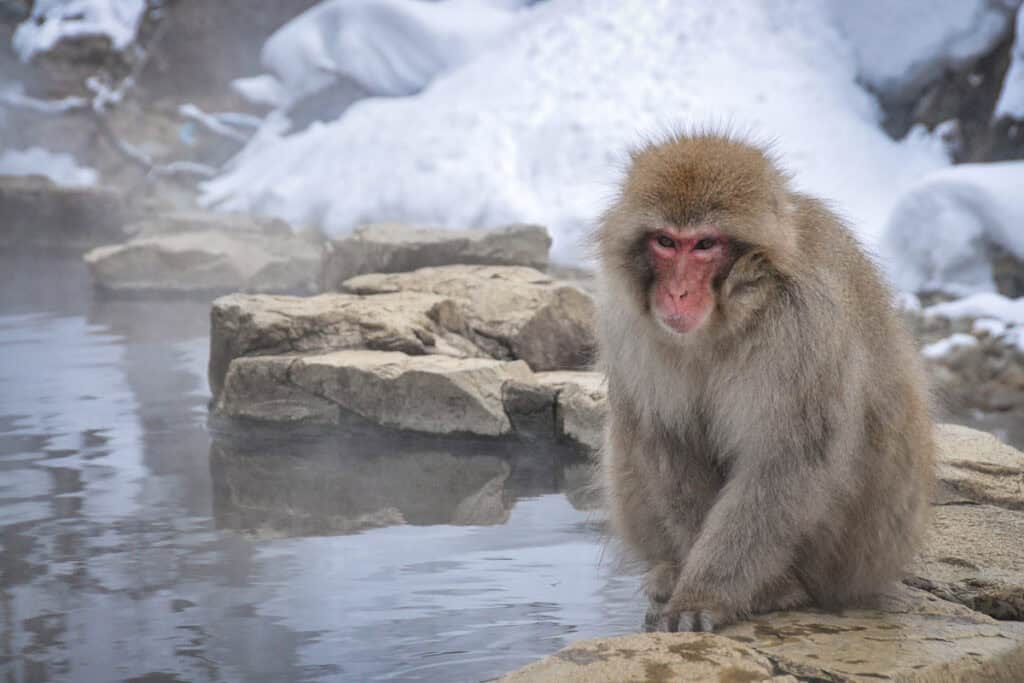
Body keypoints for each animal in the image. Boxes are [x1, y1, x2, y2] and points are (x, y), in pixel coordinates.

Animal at [593, 131, 937, 634]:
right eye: (665, 242)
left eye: (704, 244)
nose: (676, 293)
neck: (728, 319)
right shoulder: (627, 327)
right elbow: (671, 443)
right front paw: (691, 583)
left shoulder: (803, 324)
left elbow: (786, 462)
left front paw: (705, 594)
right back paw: (670, 570)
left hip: (858, 548)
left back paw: (780, 589)